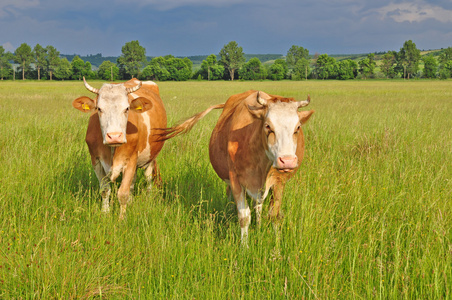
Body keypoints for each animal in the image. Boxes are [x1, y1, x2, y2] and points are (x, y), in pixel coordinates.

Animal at [73, 78, 167, 219]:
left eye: (127, 108)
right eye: (99, 108)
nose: (114, 136)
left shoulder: (131, 160)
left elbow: (123, 193)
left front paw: (122, 218)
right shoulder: (96, 161)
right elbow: (105, 190)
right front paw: (105, 213)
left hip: (151, 155)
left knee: (148, 177)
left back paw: (149, 198)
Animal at [162, 89, 314, 244]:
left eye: (298, 127)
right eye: (268, 126)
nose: (287, 161)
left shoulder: (279, 181)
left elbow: (274, 216)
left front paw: (276, 244)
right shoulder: (235, 180)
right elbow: (244, 217)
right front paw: (244, 246)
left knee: (258, 206)